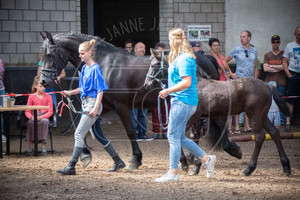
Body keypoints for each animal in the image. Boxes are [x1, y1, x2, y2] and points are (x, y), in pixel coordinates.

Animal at [38, 31, 241, 170]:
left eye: (50, 55)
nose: (44, 81)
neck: (105, 63)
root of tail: (207, 58)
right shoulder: (104, 106)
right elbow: (87, 129)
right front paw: (86, 155)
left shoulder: (121, 106)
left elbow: (130, 131)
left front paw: (135, 159)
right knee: (199, 126)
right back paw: (195, 156)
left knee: (212, 122)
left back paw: (227, 149)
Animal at [146, 50, 292, 177]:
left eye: (153, 65)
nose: (147, 84)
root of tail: (267, 85)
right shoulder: (196, 118)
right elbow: (192, 137)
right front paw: (194, 166)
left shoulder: (193, 116)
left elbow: (180, 135)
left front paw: (188, 165)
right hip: (263, 116)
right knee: (274, 133)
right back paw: (286, 167)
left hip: (254, 115)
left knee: (260, 136)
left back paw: (248, 169)